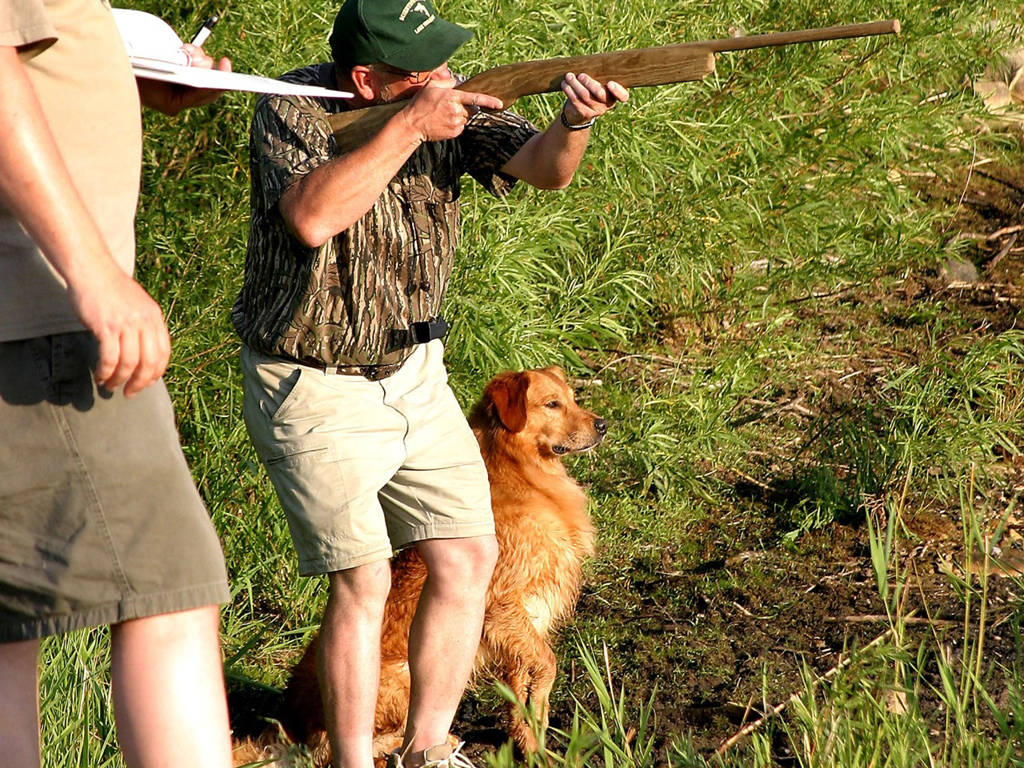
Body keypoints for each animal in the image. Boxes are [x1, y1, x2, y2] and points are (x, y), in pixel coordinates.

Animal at [237, 366, 606, 765]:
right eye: (552, 404)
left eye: (572, 398)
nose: (602, 425)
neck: (520, 473)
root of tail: (290, 727)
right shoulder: (502, 608)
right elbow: (548, 664)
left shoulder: (523, 626)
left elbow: (522, 696)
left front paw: (534, 747)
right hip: (401, 675)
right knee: (342, 745)